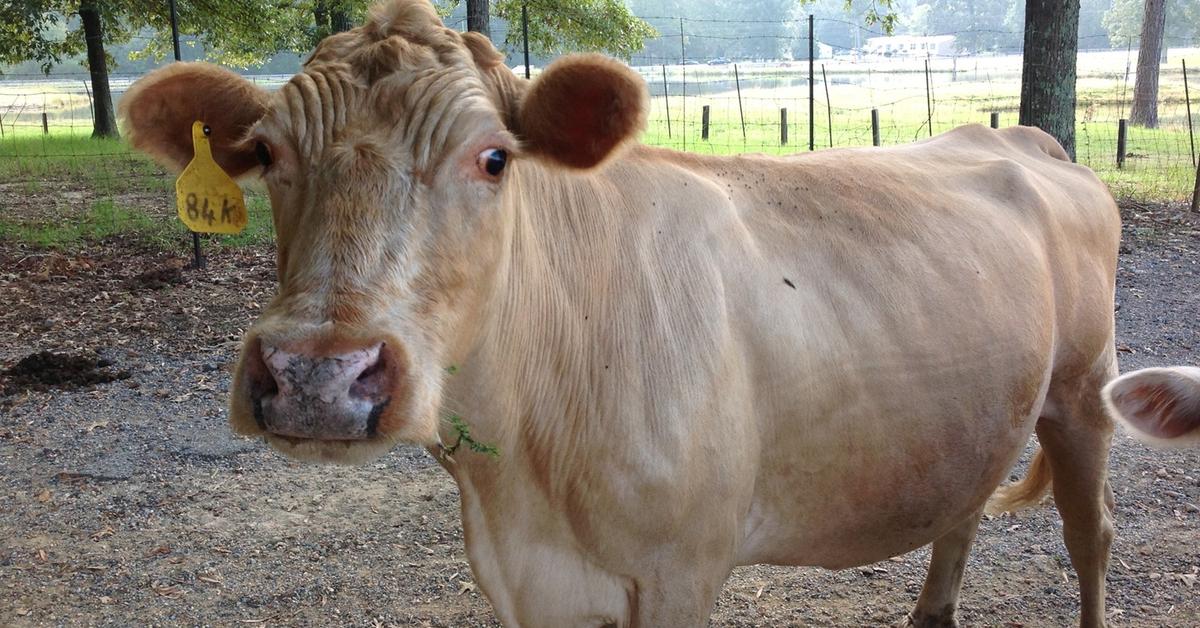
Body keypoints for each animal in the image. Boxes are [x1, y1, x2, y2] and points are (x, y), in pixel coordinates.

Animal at [117, 2, 1118, 624]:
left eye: (494, 157)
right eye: (266, 154)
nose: (318, 376)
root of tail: (1019, 135)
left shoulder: (679, 571)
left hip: (1083, 393)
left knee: (1090, 535)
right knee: (962, 512)